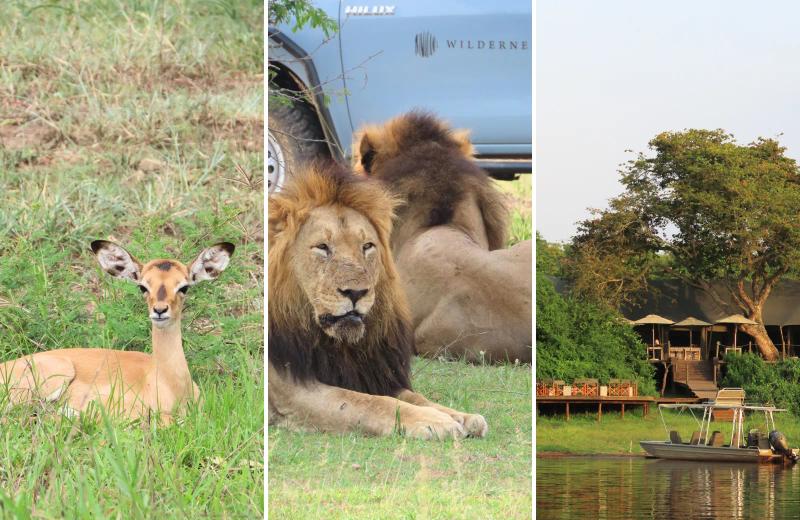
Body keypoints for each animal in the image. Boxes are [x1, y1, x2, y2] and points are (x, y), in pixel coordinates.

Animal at [267, 161, 487, 439]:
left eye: (367, 246)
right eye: (322, 247)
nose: (356, 292)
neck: (336, 346)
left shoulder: (370, 375)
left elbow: (415, 397)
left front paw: (460, 416)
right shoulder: (291, 391)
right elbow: (369, 403)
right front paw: (435, 421)